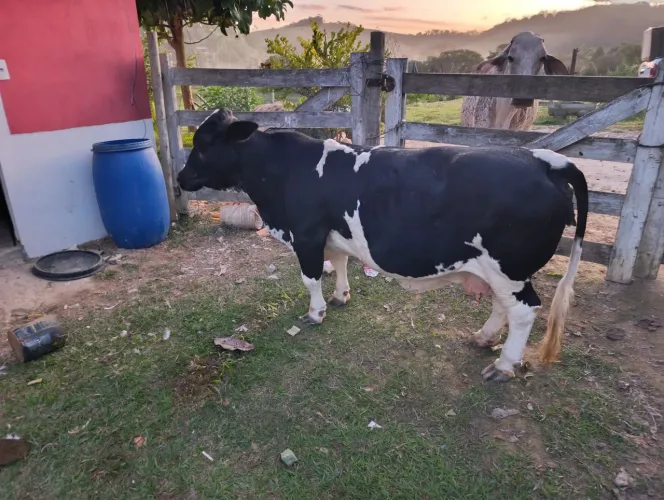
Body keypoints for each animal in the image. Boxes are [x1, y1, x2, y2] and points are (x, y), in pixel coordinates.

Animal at [177, 108, 588, 383]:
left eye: (203, 144)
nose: (180, 177)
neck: (281, 171)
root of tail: (543, 159)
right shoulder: (334, 233)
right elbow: (341, 264)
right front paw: (341, 296)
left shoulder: (306, 234)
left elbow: (311, 278)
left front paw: (315, 313)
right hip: (500, 270)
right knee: (504, 306)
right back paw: (484, 337)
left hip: (510, 267)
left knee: (524, 311)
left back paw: (503, 365)